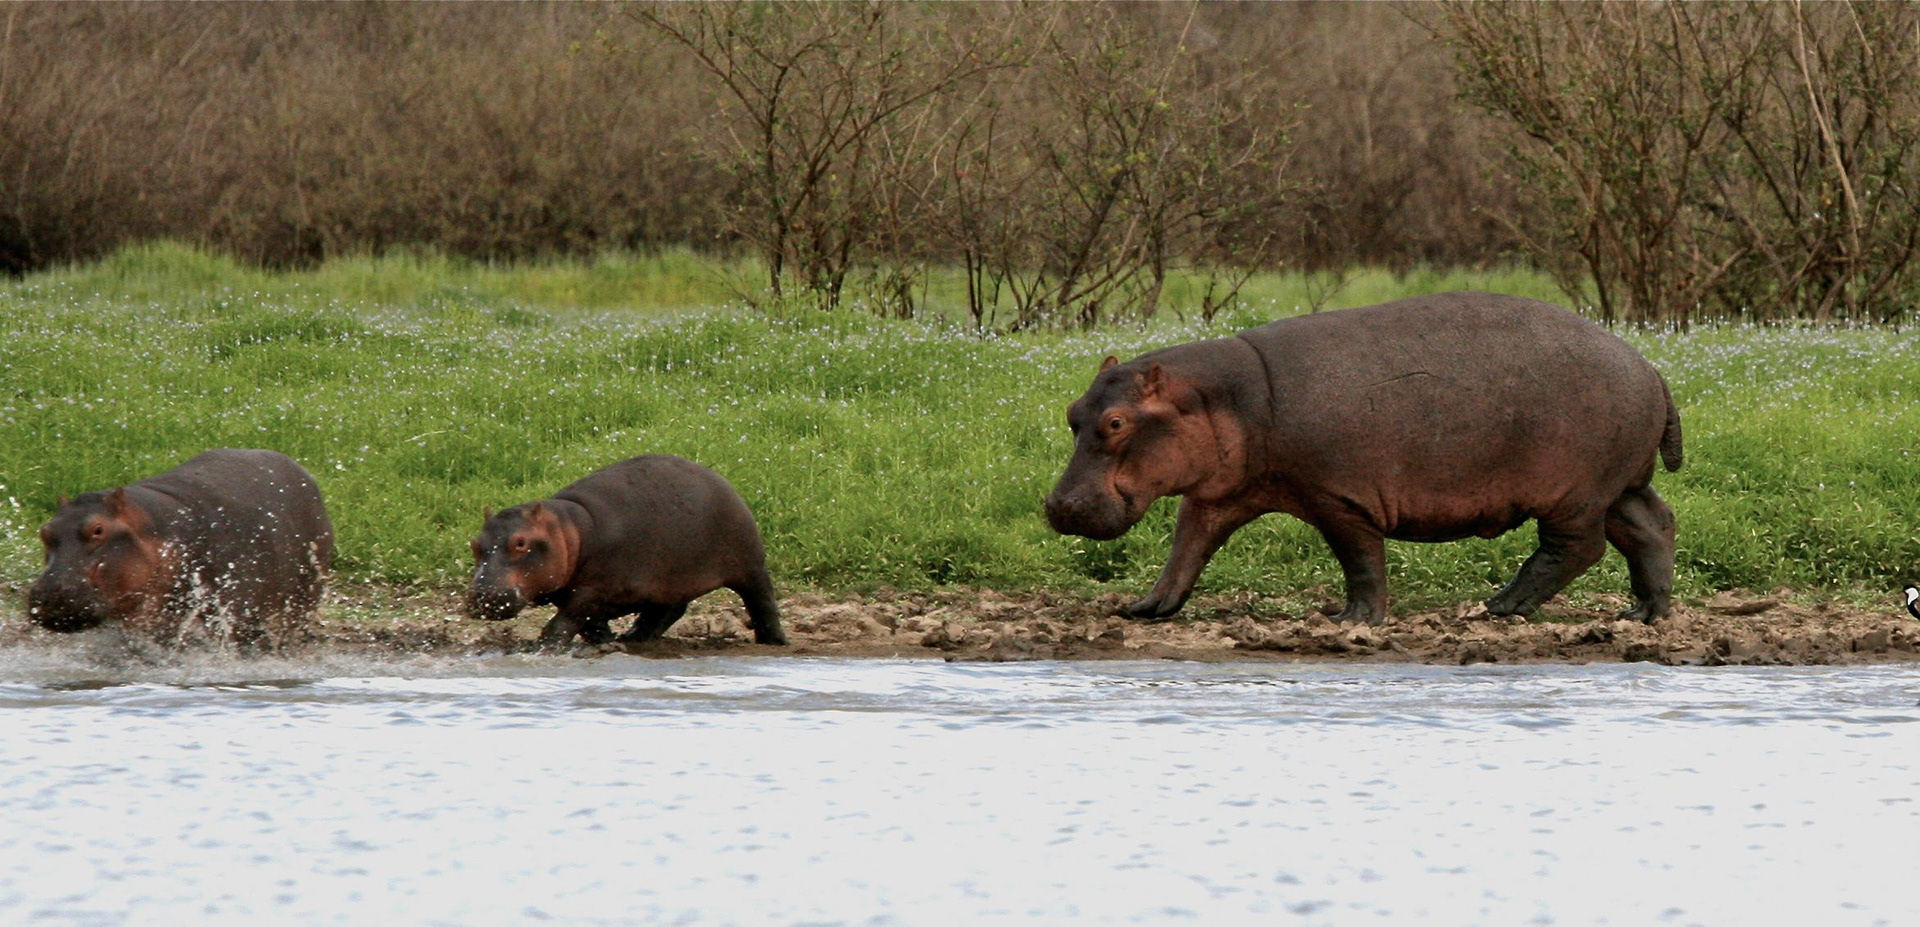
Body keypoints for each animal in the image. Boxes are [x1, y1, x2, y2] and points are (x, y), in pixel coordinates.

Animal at [467, 455, 788, 647]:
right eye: (474, 544)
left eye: (520, 543)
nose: (482, 595)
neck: (569, 530)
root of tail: (721, 481)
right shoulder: (578, 592)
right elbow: (589, 623)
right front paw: (606, 642)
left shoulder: (592, 589)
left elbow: (566, 620)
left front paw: (547, 645)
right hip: (671, 578)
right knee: (668, 609)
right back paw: (635, 637)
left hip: (749, 564)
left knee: (762, 602)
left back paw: (775, 642)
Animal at [1044, 292, 1683, 625]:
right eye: (1074, 411)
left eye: (1116, 422)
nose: (1058, 506)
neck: (1216, 397)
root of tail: (1650, 366)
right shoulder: (1219, 494)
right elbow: (1185, 552)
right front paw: (1142, 609)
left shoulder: (1337, 498)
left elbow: (1361, 560)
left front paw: (1351, 620)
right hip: (1618, 485)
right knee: (1653, 525)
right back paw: (1643, 614)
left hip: (1573, 493)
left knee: (1576, 548)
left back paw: (1501, 606)